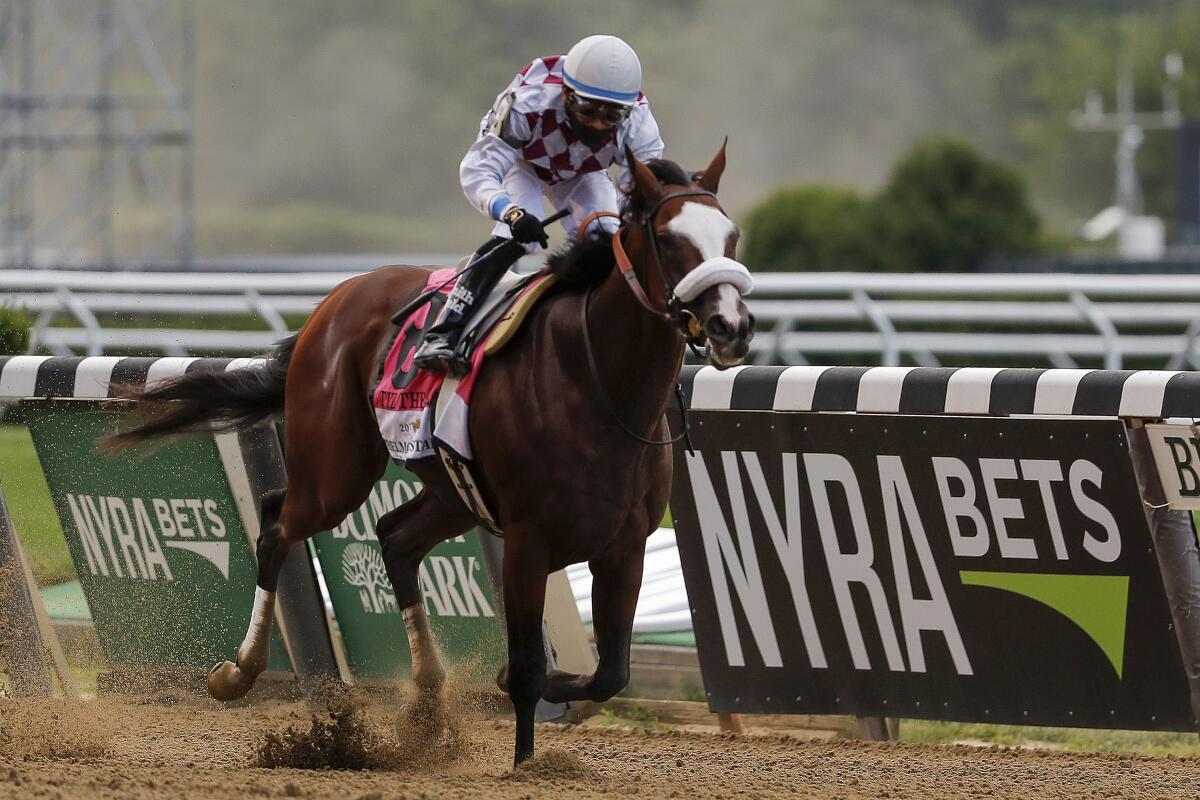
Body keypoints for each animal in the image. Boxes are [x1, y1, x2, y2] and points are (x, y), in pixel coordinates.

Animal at [108, 146, 753, 767]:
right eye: (667, 239)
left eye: (731, 235)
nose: (732, 326)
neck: (594, 383)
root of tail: (334, 300)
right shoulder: (527, 541)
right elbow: (527, 671)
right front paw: (523, 757)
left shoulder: (625, 545)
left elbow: (610, 673)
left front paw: (530, 688)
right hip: (337, 473)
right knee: (275, 521)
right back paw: (238, 673)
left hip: (452, 494)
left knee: (394, 537)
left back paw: (426, 694)